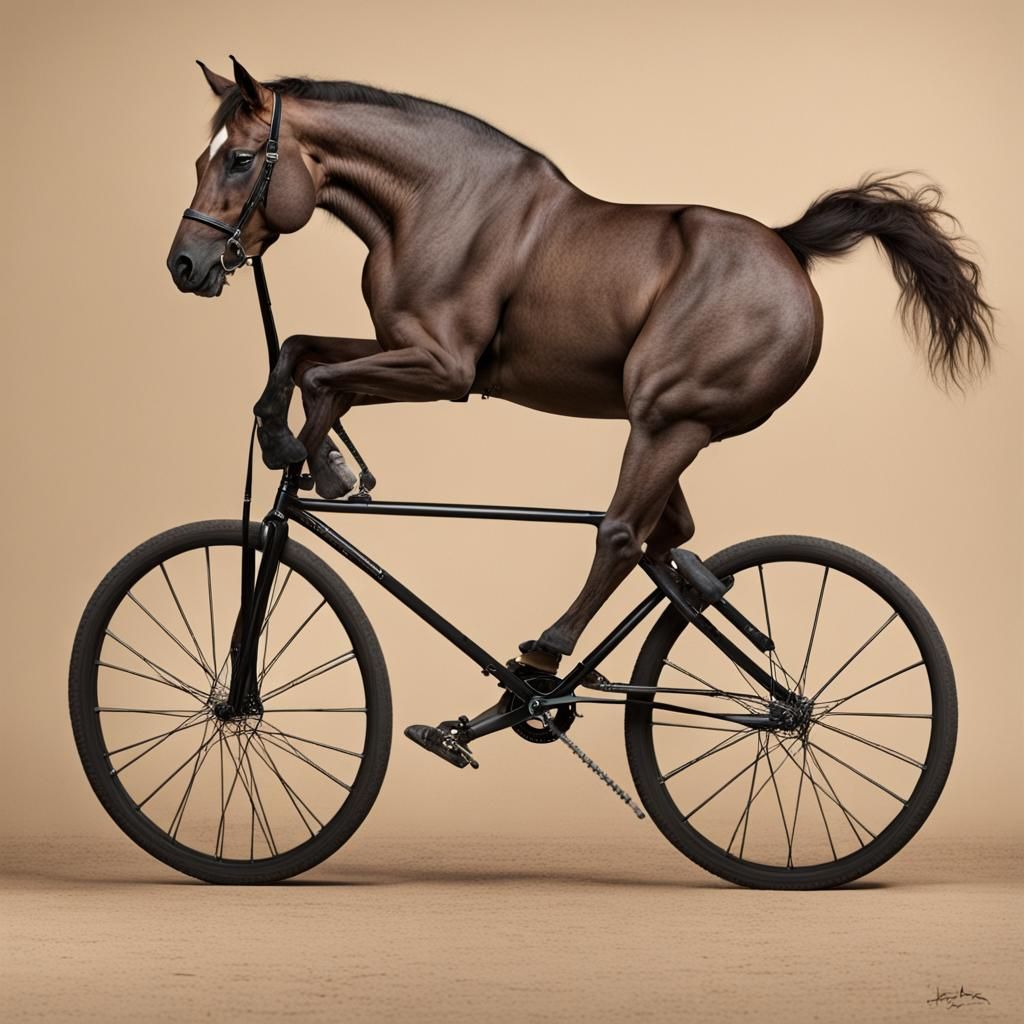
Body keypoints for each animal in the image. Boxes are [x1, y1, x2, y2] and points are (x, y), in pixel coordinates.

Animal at [167, 57, 993, 685]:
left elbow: (318, 379)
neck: (435, 202)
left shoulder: (443, 369)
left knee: (624, 535)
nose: (186, 264)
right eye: (200, 157)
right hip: (666, 427)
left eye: (240, 158)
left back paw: (548, 659)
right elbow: (300, 349)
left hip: (667, 420)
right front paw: (322, 460)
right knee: (670, 537)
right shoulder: (395, 346)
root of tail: (790, 247)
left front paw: (300, 456)